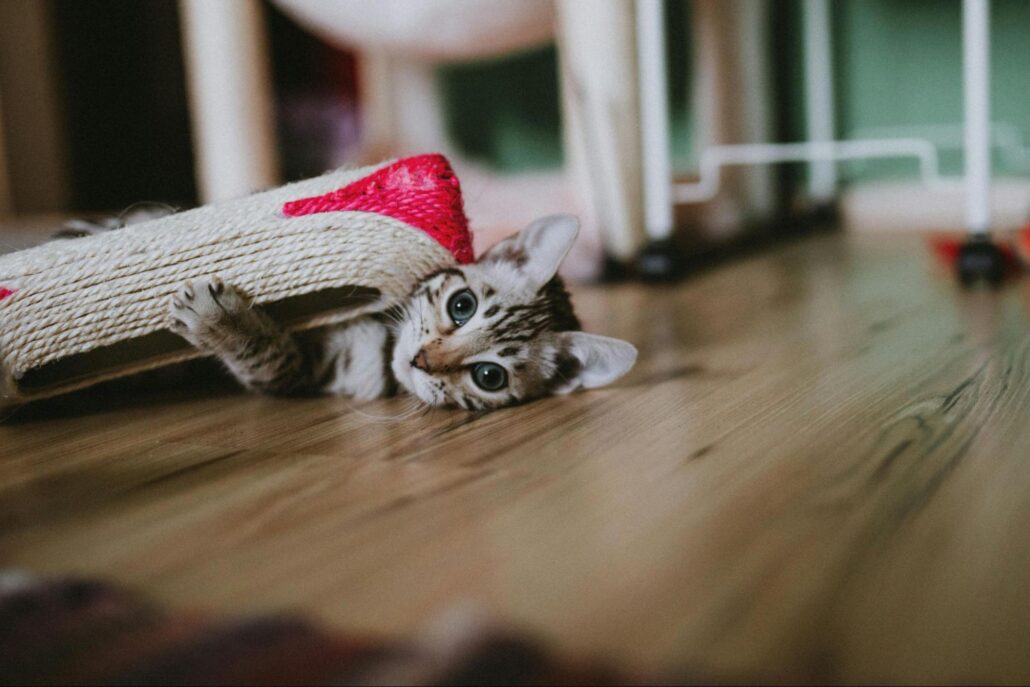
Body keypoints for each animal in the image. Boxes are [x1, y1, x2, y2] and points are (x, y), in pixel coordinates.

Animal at [168, 215, 634, 411]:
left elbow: (268, 354)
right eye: (462, 305)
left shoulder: (302, 373)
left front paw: (219, 320)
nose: (420, 360)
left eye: (490, 377)